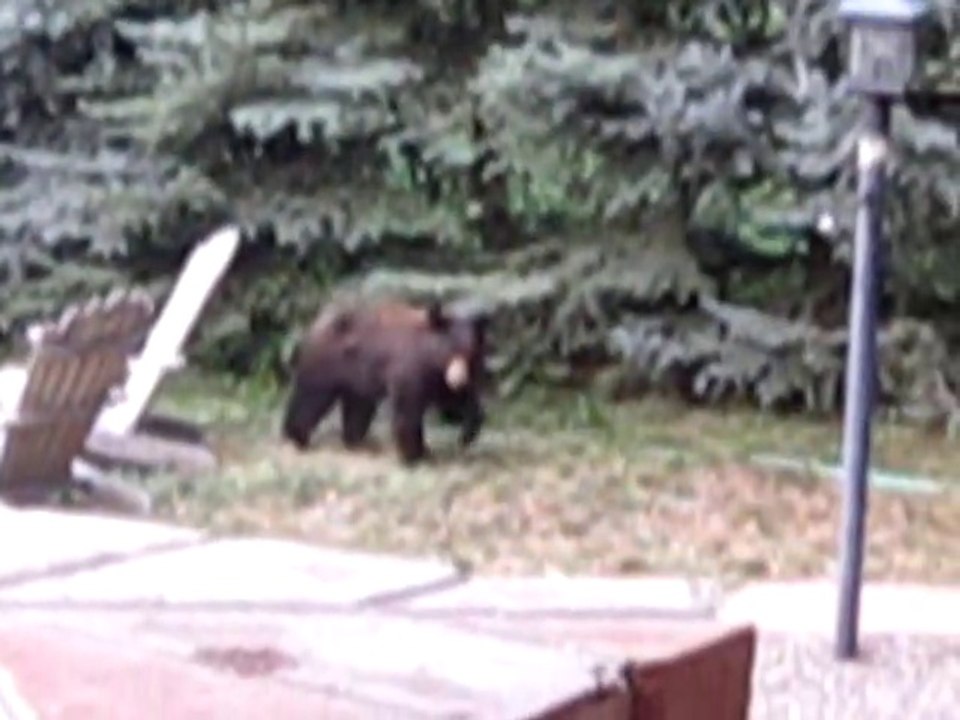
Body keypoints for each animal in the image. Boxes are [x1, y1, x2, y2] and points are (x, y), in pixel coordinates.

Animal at [281, 298, 489, 464]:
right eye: (449, 350)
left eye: (470, 353)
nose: (458, 379)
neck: (430, 359)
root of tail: (317, 321)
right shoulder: (411, 368)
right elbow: (408, 407)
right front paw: (413, 454)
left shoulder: (438, 379)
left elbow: (457, 400)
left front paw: (466, 434)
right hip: (327, 363)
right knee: (311, 396)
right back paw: (295, 436)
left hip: (358, 379)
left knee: (358, 408)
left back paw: (356, 441)